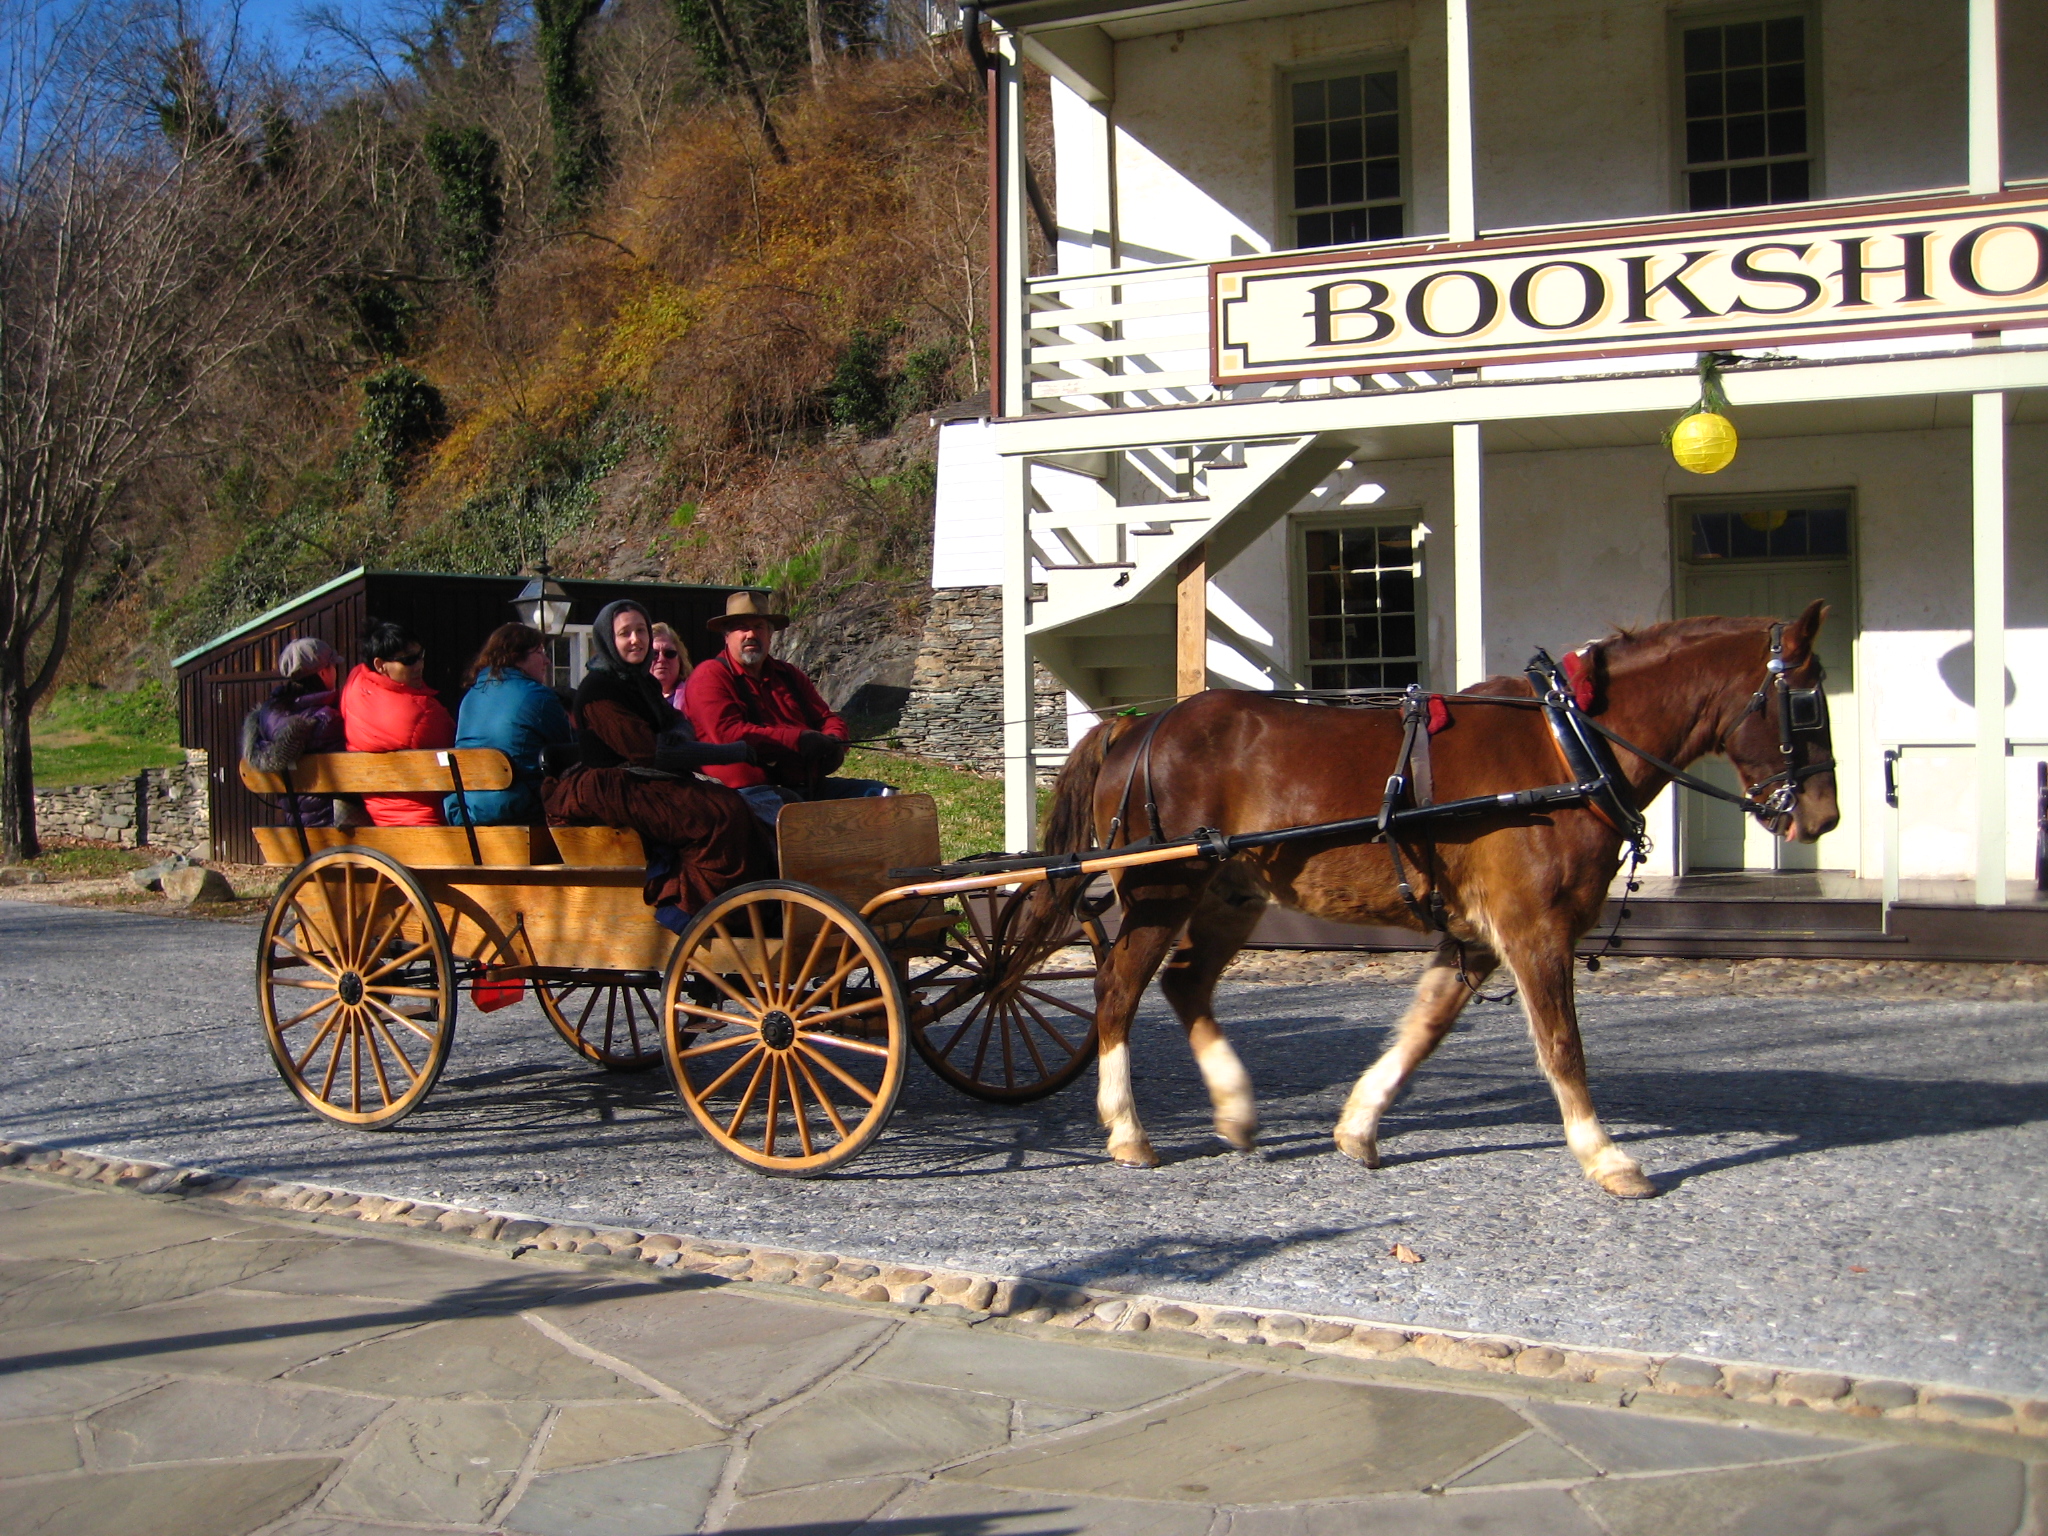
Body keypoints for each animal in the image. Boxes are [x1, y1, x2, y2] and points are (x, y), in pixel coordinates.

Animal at [1035, 603, 1839, 1198]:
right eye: (1806, 701)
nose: (1822, 817)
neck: (1568, 748)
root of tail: (1135, 727)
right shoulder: (1534, 928)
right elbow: (1563, 1046)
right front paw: (1606, 1155)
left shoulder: (1478, 937)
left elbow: (1424, 1030)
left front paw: (1358, 1126)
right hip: (1164, 889)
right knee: (1117, 992)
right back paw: (1128, 1130)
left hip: (1229, 893)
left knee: (1183, 984)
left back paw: (1234, 1108)